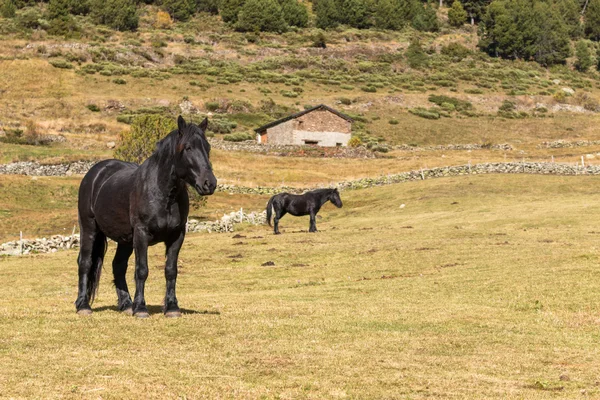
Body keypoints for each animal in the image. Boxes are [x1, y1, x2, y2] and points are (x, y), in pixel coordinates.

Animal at [74, 115, 216, 318]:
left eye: (207, 147)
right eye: (188, 147)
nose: (209, 184)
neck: (163, 193)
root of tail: (95, 173)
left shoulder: (177, 235)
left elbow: (171, 270)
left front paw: (172, 308)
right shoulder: (141, 234)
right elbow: (142, 270)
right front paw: (141, 308)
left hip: (125, 239)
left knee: (118, 266)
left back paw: (126, 304)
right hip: (89, 228)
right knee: (85, 262)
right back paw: (83, 305)